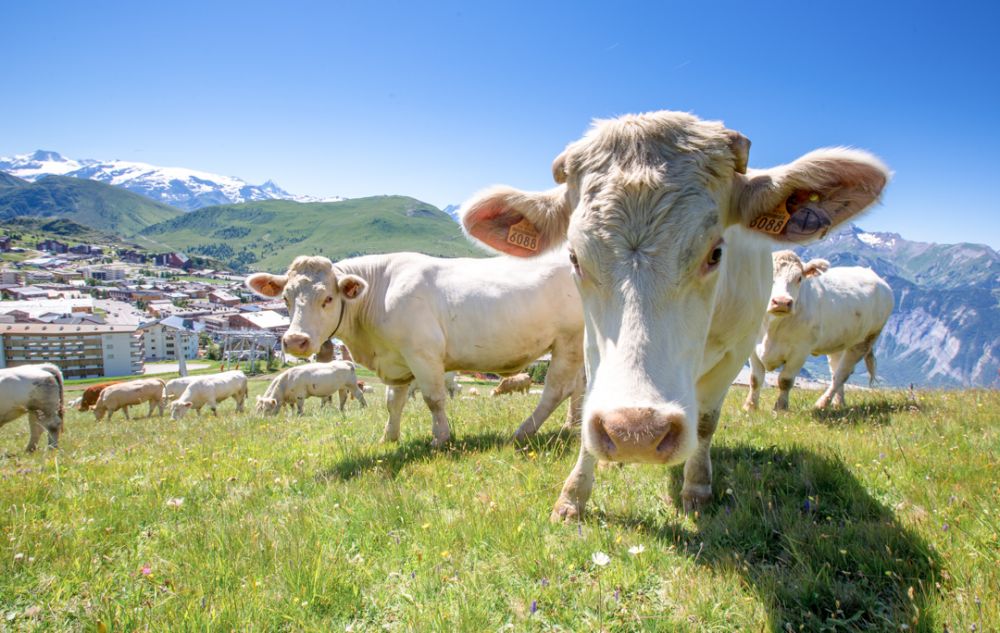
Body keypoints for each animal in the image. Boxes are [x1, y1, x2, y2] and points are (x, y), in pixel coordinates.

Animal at [248, 252, 584, 444]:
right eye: (286, 298)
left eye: (327, 298)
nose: (295, 341)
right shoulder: (397, 362)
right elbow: (392, 403)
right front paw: (389, 437)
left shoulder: (423, 353)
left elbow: (433, 399)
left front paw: (441, 439)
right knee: (580, 387)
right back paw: (573, 425)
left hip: (570, 338)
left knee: (557, 389)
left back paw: (524, 432)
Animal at [458, 108, 888, 520]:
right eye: (574, 258)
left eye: (716, 252)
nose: (636, 432)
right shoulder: (589, 343)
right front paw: (572, 497)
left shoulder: (738, 351)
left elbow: (708, 421)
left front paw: (696, 490)